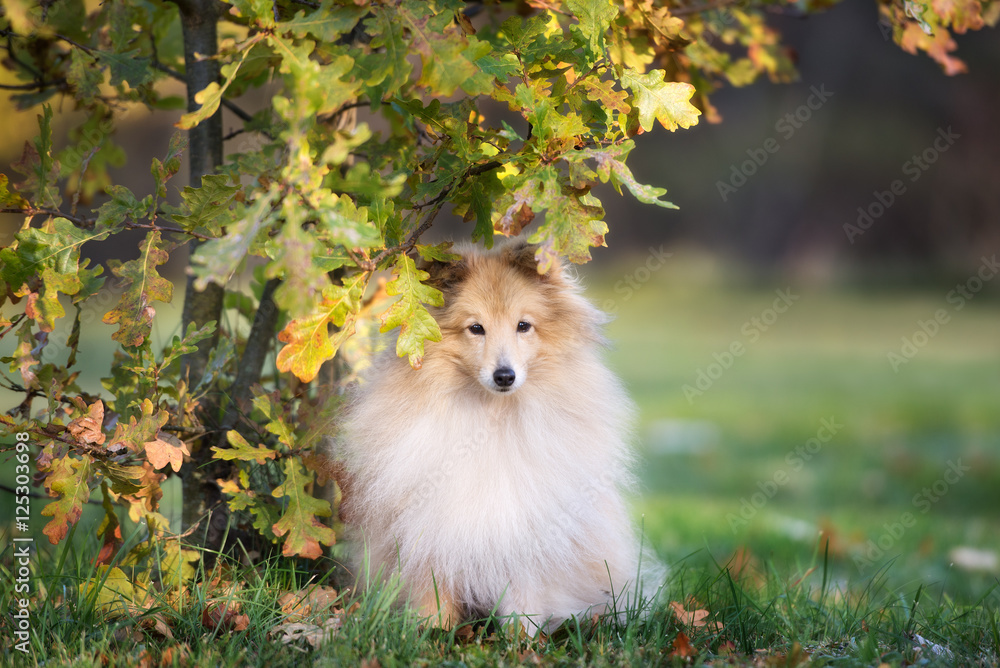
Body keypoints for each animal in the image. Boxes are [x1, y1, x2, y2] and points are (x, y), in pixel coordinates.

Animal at [336, 239, 660, 632]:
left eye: (523, 326)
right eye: (476, 328)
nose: (504, 375)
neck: (492, 420)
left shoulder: (526, 528)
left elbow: (523, 591)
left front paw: (522, 635)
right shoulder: (430, 524)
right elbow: (433, 587)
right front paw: (432, 630)